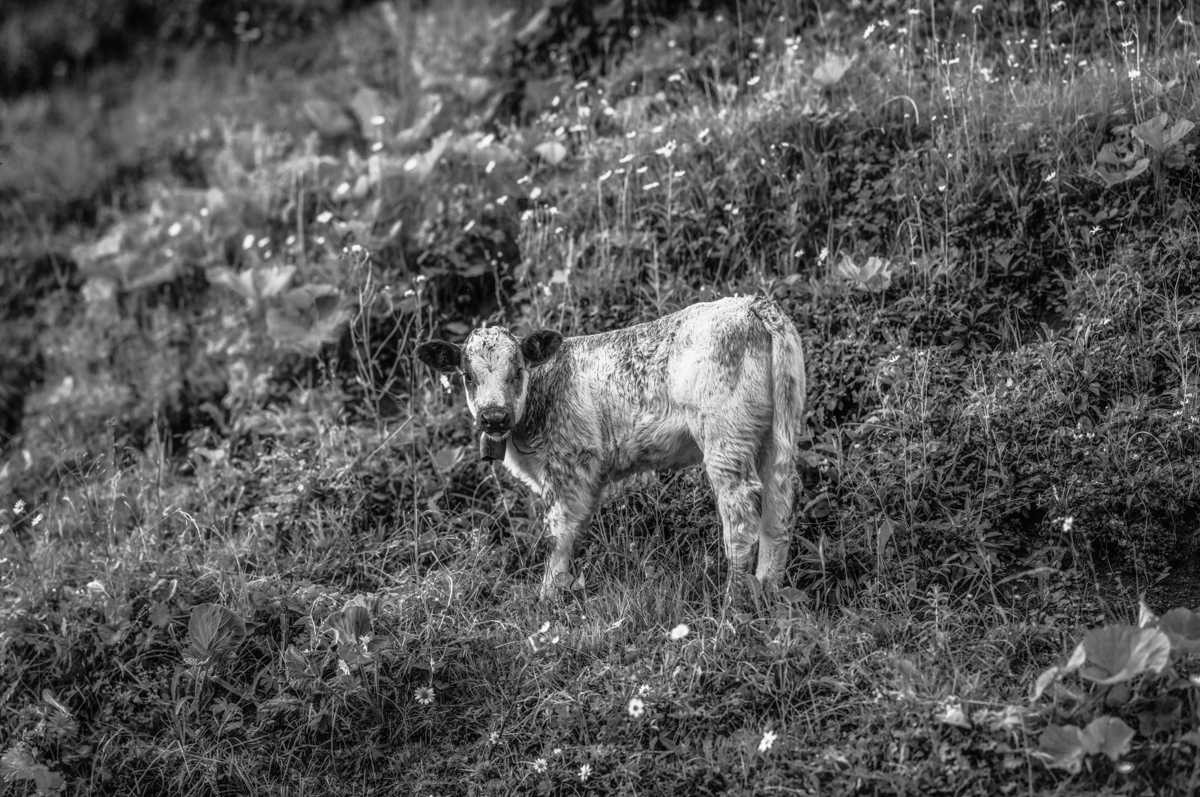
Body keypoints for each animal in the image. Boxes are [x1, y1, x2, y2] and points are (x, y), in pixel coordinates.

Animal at [415, 295, 806, 601]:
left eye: (518, 370)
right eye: (467, 375)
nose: (494, 416)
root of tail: (751, 304)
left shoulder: (570, 466)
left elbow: (557, 534)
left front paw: (547, 597)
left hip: (725, 438)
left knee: (741, 518)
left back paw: (733, 602)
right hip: (779, 434)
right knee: (779, 509)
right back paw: (767, 591)